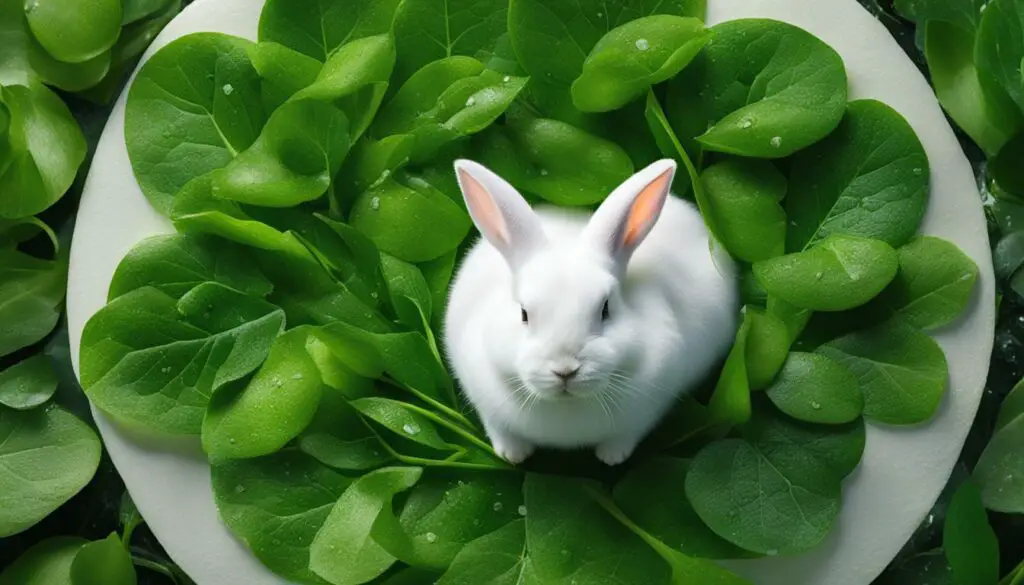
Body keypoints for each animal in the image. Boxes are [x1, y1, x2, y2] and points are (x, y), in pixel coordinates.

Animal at [442, 157, 737, 465]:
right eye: (524, 314)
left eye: (605, 310)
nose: (565, 371)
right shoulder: (485, 402)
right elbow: (499, 429)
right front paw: (512, 455)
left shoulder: (644, 413)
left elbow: (626, 435)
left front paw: (612, 457)